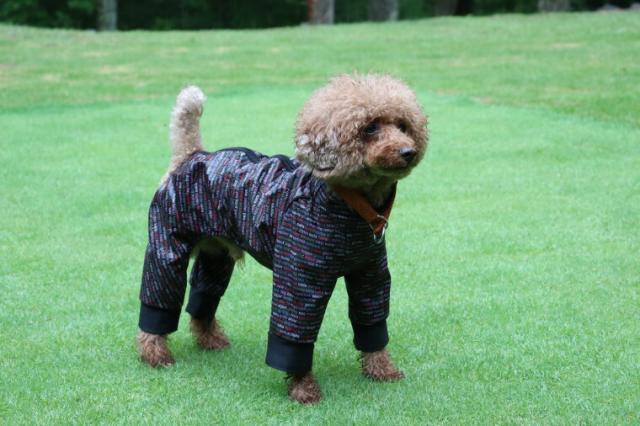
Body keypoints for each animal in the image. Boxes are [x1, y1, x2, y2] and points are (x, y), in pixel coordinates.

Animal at [136, 74, 428, 404]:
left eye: (403, 125)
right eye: (370, 128)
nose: (408, 151)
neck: (350, 207)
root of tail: (191, 155)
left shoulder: (370, 273)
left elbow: (372, 322)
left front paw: (382, 369)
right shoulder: (300, 278)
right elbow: (294, 334)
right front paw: (303, 388)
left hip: (215, 254)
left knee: (204, 298)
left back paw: (210, 340)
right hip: (167, 244)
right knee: (159, 294)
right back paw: (154, 354)